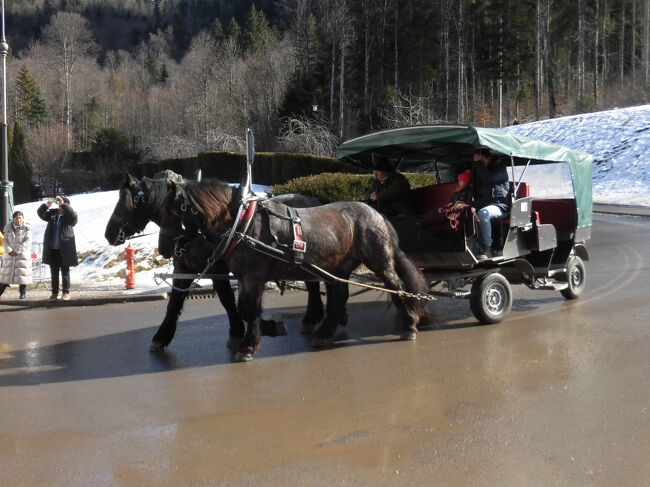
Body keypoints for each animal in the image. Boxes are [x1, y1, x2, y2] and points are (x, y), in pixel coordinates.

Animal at [104, 171, 330, 352]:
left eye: (127, 201)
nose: (109, 234)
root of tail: (315, 200)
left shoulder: (216, 267)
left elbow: (227, 299)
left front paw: (239, 332)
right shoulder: (183, 268)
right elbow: (174, 303)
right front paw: (162, 336)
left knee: (313, 285)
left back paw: (312, 318)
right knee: (312, 284)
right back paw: (313, 317)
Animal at [158, 179, 429, 362]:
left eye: (172, 212)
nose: (165, 250)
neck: (242, 223)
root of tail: (377, 214)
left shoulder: (253, 276)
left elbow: (249, 309)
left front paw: (249, 345)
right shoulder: (245, 277)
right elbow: (245, 309)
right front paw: (267, 330)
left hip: (379, 260)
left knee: (397, 287)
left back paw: (409, 324)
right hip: (340, 265)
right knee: (339, 296)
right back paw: (325, 332)